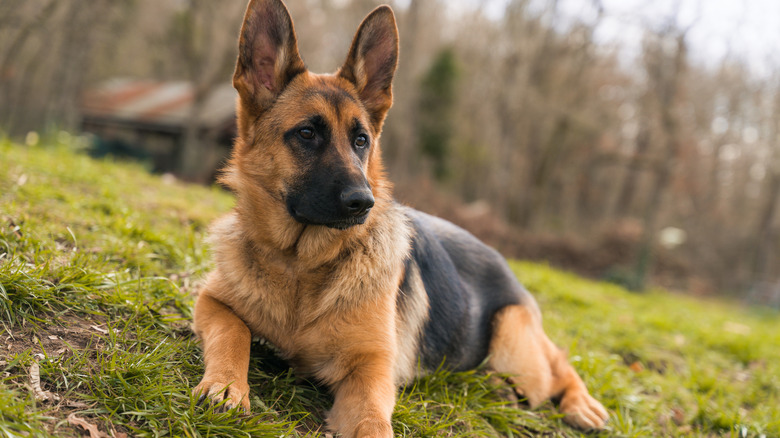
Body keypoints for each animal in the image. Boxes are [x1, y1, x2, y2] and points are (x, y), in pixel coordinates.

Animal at [193, 1, 608, 436]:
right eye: (307, 133)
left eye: (361, 141)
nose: (364, 202)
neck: (300, 265)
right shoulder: (211, 301)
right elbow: (232, 332)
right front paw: (226, 384)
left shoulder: (371, 370)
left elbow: (373, 422)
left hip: (515, 346)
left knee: (557, 363)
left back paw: (582, 404)